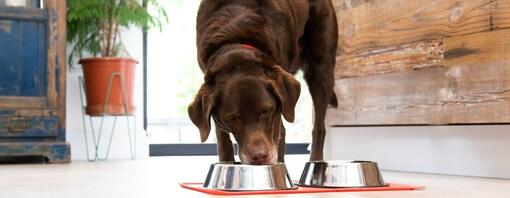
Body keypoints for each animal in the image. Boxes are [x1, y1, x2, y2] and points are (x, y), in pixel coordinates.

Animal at [189, 0, 336, 164]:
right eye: (233, 119)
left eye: (266, 111)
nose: (259, 156)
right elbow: (222, 139)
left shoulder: (277, 114)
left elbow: (278, 137)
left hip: (320, 69)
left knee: (319, 128)